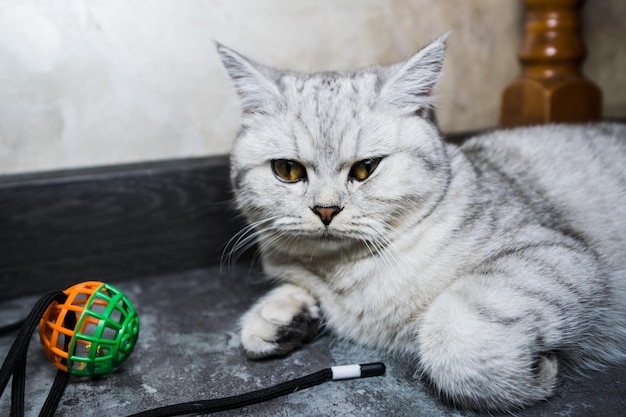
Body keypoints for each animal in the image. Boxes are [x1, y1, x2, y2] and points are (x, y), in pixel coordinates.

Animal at [216, 34, 624, 412]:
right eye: (287, 170)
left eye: (366, 168)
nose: (326, 210)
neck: (344, 275)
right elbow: (294, 286)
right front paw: (279, 316)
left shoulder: (556, 253)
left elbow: (454, 338)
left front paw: (538, 373)